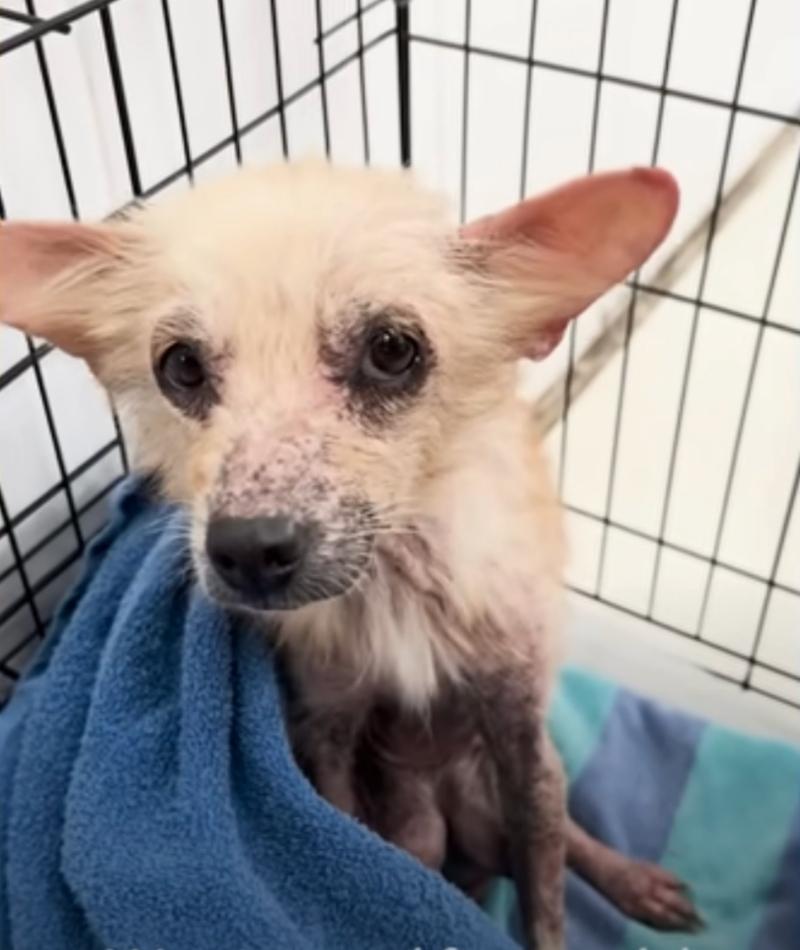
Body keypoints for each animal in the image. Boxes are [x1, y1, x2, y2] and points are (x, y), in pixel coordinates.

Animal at [0, 160, 700, 948]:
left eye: (393, 349)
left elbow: (546, 901)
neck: (395, 582)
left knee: (565, 834)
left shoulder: (521, 732)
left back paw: (631, 879)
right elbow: (350, 851)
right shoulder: (329, 737)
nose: (247, 551)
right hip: (422, 826)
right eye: (179, 366)